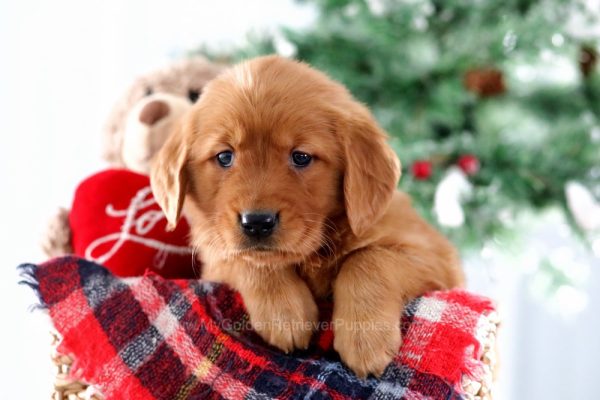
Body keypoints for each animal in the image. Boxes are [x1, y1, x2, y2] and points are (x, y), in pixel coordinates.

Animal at [150, 55, 464, 378]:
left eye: (301, 157)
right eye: (225, 156)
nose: (257, 223)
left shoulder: (435, 256)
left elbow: (368, 258)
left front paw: (365, 337)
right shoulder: (216, 259)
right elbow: (249, 261)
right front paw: (285, 314)